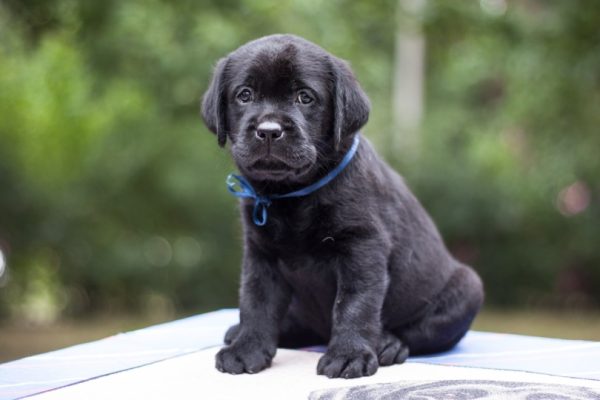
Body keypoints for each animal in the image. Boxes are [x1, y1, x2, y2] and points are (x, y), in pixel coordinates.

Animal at [200, 34, 482, 378]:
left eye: (305, 97)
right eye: (244, 95)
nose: (268, 131)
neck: (292, 195)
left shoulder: (362, 247)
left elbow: (354, 305)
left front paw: (349, 355)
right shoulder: (260, 254)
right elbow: (255, 302)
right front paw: (247, 348)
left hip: (468, 288)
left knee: (417, 333)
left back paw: (389, 344)